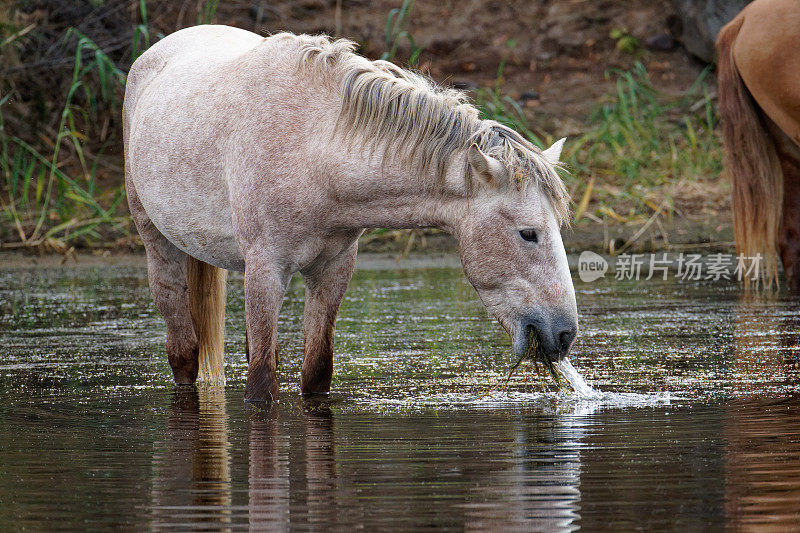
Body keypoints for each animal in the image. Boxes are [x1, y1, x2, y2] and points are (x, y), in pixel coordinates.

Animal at [123, 25, 576, 400]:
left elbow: (315, 373)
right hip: (158, 244)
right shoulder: (266, 269)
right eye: (528, 233)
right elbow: (261, 387)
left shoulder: (334, 269)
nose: (565, 334)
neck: (314, 148)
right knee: (183, 351)